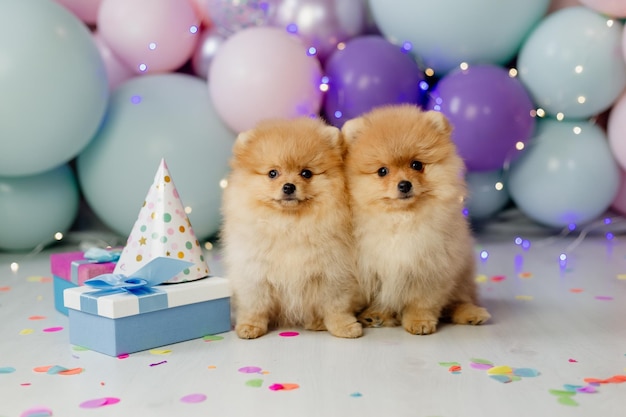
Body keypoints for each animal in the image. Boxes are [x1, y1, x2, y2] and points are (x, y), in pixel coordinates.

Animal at [221, 116, 364, 338]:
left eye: (306, 173)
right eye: (273, 173)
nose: (288, 186)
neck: (289, 225)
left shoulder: (333, 273)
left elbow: (336, 306)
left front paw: (344, 327)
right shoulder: (255, 273)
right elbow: (255, 305)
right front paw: (250, 326)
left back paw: (317, 322)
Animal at [342, 105, 488, 334]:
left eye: (417, 165)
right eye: (382, 171)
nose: (404, 184)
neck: (402, 220)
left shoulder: (431, 267)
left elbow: (422, 302)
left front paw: (419, 322)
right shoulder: (372, 270)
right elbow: (381, 297)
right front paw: (378, 314)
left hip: (462, 276)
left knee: (458, 300)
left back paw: (471, 313)